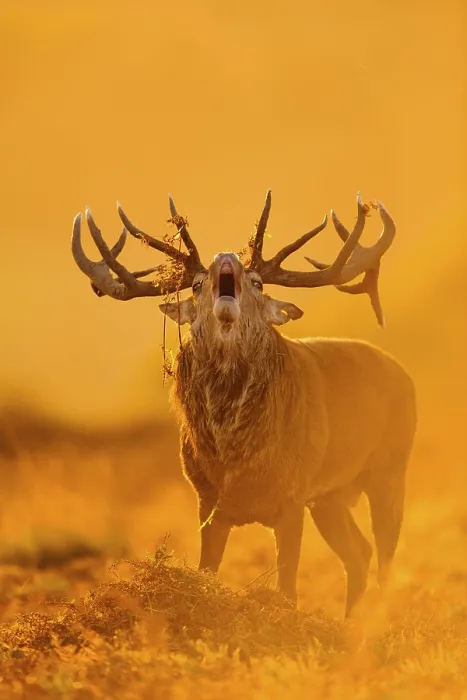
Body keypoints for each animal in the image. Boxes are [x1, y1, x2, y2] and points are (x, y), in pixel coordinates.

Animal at [71, 191, 416, 618]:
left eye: (257, 281)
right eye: (197, 284)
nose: (226, 258)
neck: (234, 451)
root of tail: (405, 375)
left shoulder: (292, 495)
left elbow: (288, 589)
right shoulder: (207, 500)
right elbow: (208, 572)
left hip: (390, 466)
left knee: (384, 554)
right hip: (330, 496)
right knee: (359, 553)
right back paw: (349, 623)